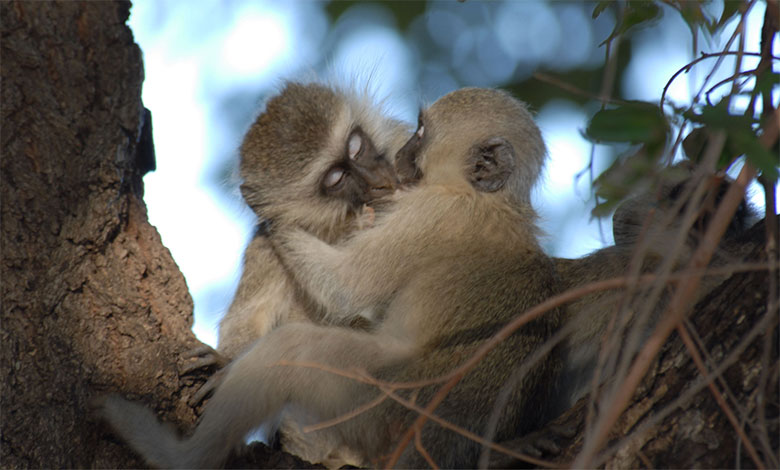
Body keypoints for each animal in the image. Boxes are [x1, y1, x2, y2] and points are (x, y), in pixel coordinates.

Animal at [100, 87, 564, 469]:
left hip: (378, 399)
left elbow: (345, 288)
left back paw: (175, 454)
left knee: (292, 350)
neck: (495, 202)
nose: (390, 168)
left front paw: (275, 214)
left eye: (357, 147)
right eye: (336, 178)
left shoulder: (429, 212)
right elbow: (252, 312)